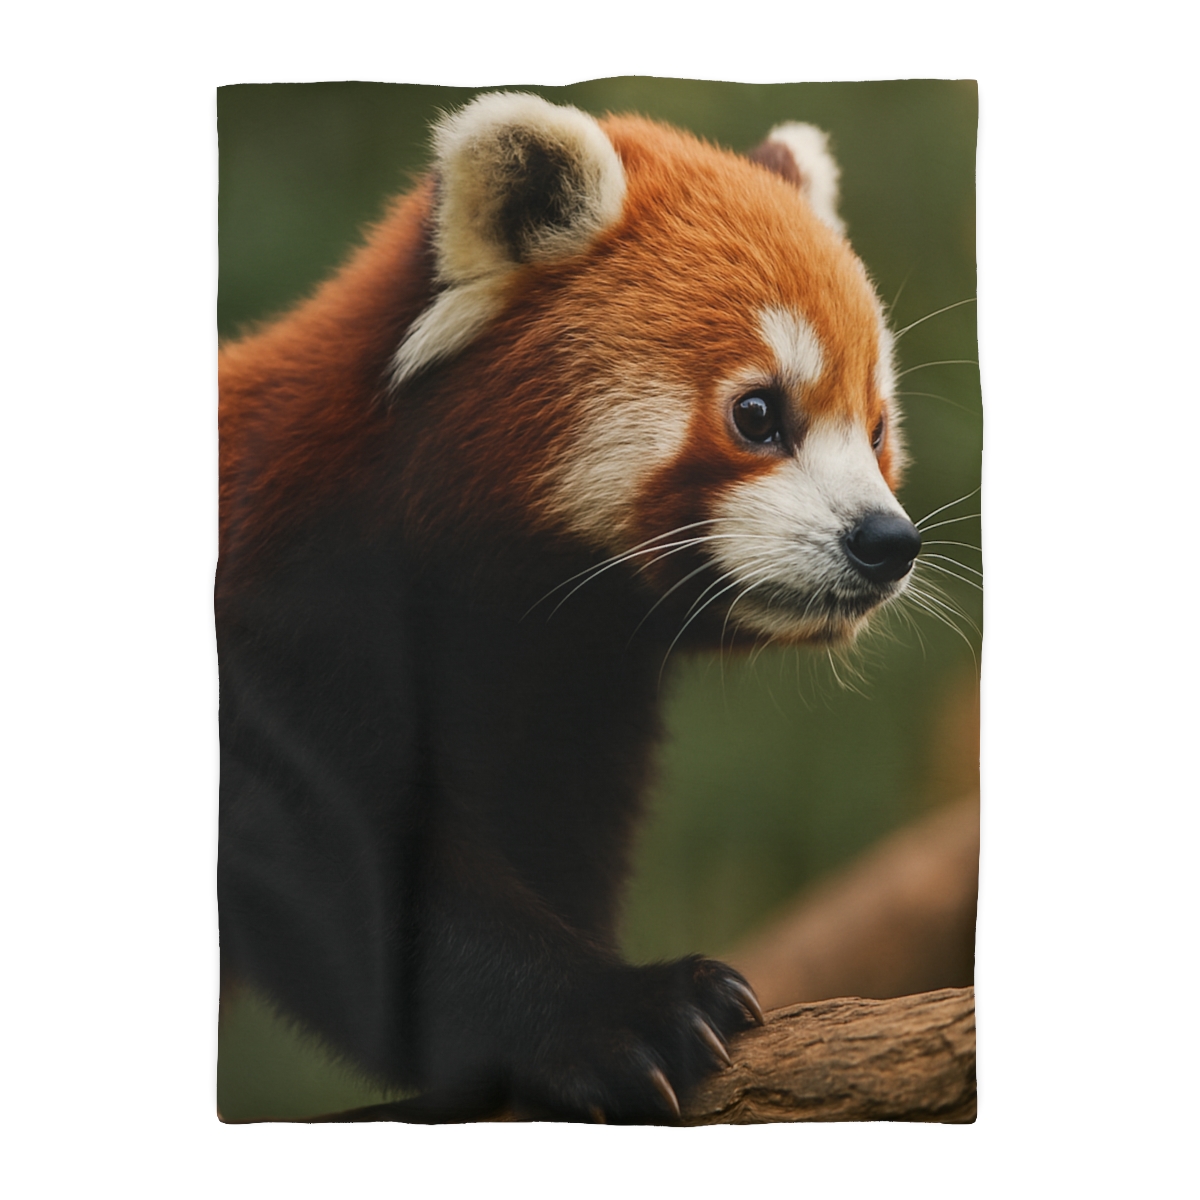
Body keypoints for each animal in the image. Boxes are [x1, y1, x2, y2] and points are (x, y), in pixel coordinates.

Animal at [217, 92, 921, 1123]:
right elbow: (338, 866)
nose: (887, 543)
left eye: (875, 431)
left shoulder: (571, 705)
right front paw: (624, 1014)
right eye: (758, 414)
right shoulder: (280, 627)